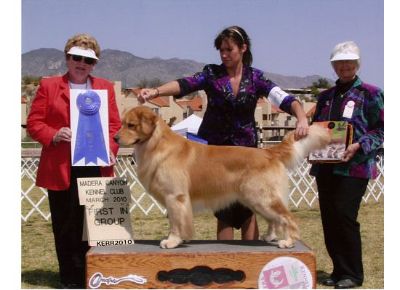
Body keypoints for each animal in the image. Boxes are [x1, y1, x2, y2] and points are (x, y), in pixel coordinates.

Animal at [114, 106, 330, 249]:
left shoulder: (175, 196)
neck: (156, 144)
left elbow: (176, 222)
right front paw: (180, 239)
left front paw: (173, 241)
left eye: (131, 125)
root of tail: (267, 152)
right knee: (274, 219)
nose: (115, 138)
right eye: (123, 124)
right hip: (255, 199)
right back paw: (269, 237)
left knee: (287, 217)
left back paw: (289, 241)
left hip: (261, 197)